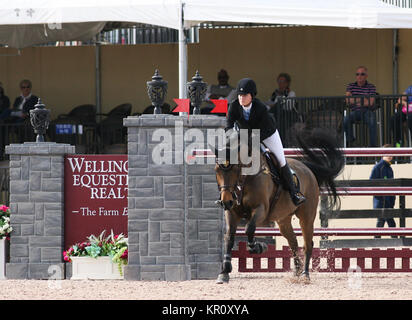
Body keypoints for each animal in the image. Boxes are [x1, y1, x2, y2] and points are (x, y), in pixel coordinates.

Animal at [212, 126, 344, 284]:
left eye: (236, 168)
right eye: (216, 170)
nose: (226, 201)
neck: (245, 180)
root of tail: (308, 169)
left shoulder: (261, 210)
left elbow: (249, 229)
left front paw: (258, 247)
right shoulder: (232, 212)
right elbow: (229, 238)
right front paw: (224, 272)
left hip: (306, 217)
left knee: (307, 244)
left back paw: (305, 274)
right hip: (283, 220)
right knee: (293, 242)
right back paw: (297, 271)